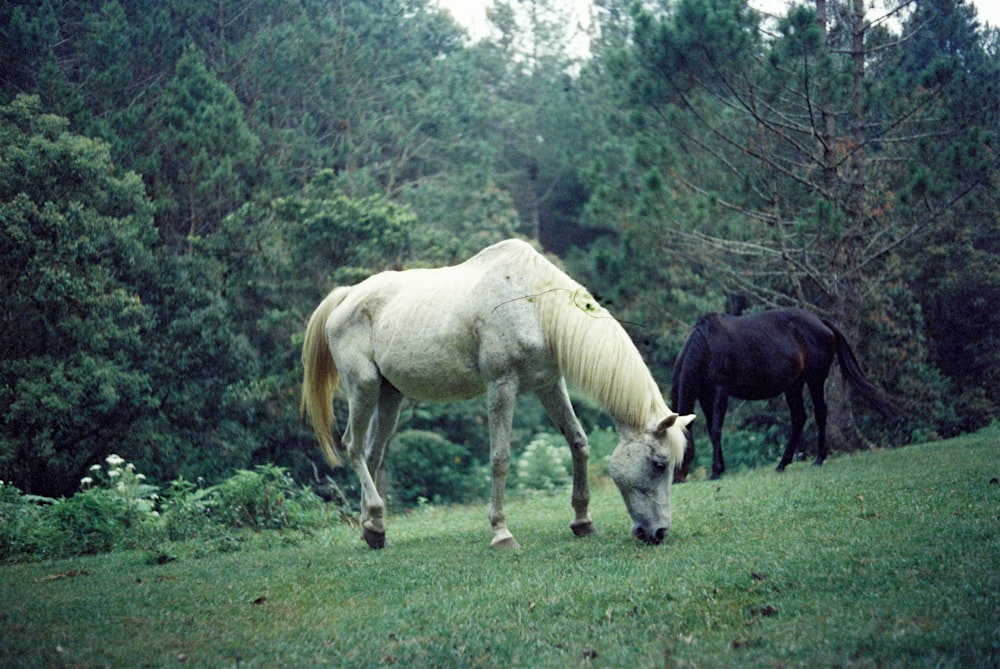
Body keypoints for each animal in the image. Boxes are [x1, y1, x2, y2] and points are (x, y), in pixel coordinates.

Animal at [302, 240, 696, 548]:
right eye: (659, 464)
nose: (659, 532)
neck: (535, 305)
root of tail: (347, 296)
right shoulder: (501, 386)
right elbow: (500, 458)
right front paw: (501, 533)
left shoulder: (549, 384)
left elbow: (578, 442)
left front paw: (582, 521)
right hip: (364, 388)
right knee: (353, 447)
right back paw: (375, 520)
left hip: (390, 397)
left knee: (372, 452)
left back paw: (373, 528)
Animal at [672, 308, 900, 480]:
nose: (675, 479)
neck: (706, 347)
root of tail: (821, 322)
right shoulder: (705, 395)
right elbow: (713, 430)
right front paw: (719, 468)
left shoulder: (721, 391)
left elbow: (716, 430)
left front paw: (716, 472)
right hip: (793, 386)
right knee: (799, 418)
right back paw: (782, 464)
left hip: (815, 379)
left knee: (820, 413)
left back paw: (818, 459)